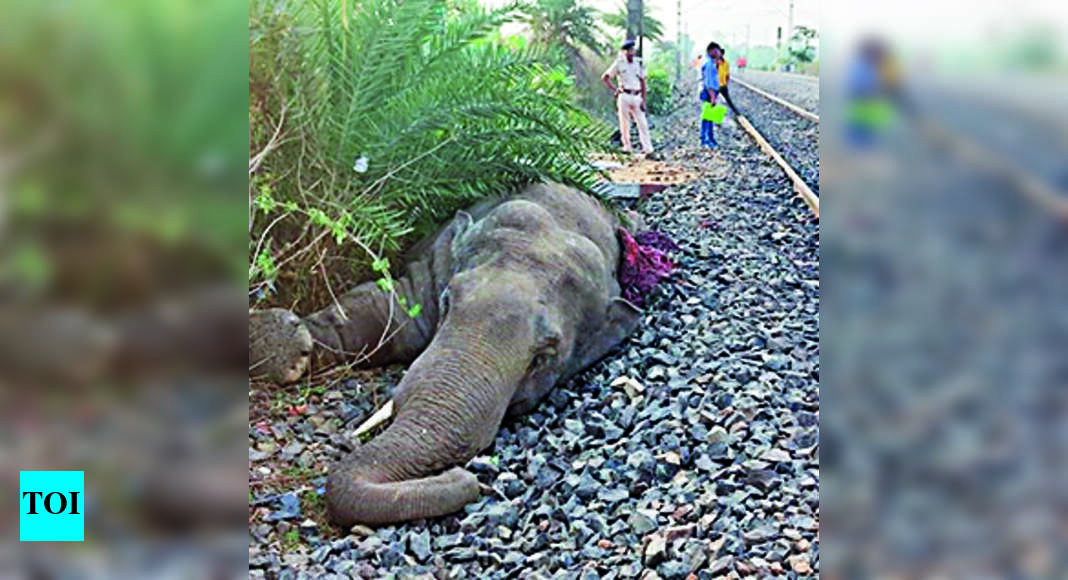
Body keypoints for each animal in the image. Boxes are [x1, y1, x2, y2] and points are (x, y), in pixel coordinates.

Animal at [250, 183, 649, 526]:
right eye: (447, 301)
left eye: (544, 356)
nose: (465, 477)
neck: (558, 217)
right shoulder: (435, 262)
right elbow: (382, 309)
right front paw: (283, 344)